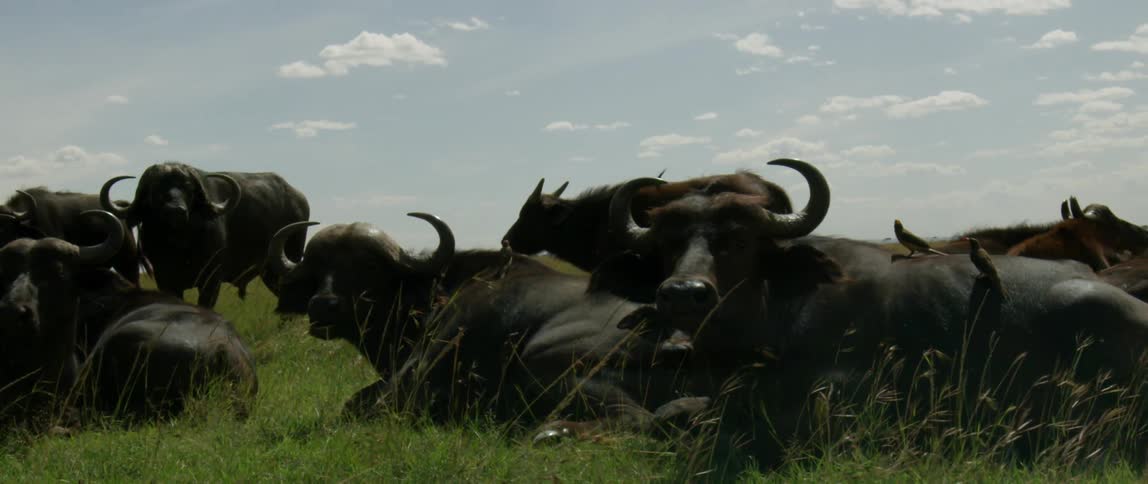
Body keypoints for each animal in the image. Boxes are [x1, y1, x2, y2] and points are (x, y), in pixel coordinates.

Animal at [101, 162, 310, 308]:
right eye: (156, 188)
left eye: (188, 188)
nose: (175, 211)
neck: (180, 245)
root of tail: (299, 199)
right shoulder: (165, 279)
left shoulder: (212, 279)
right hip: (269, 272)